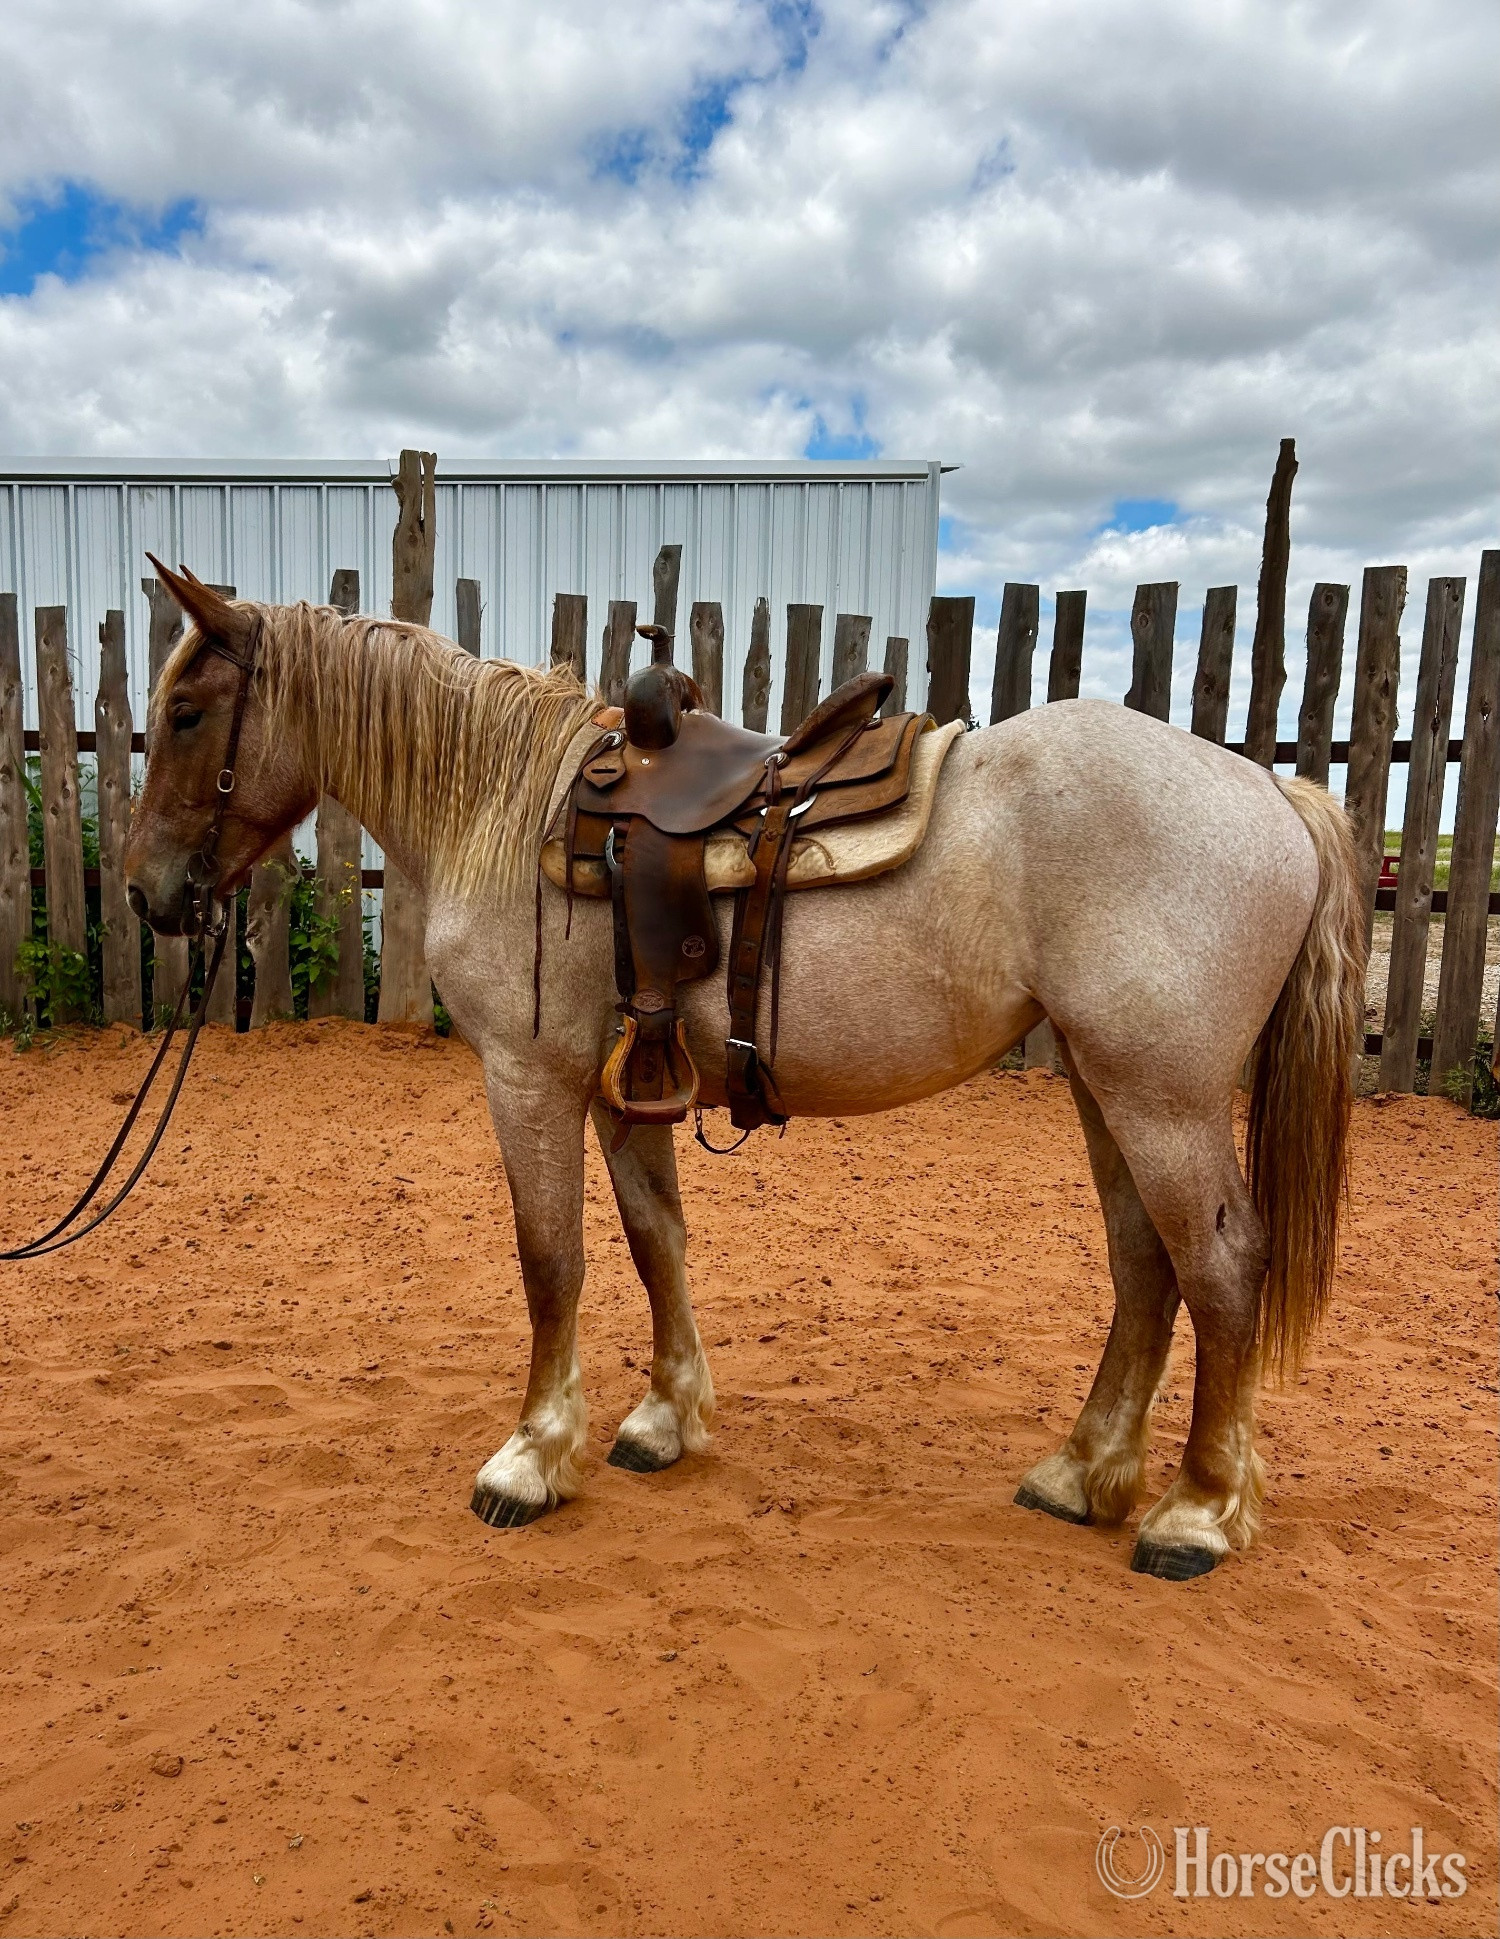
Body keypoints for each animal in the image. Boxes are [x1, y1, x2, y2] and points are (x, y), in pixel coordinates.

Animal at [124, 567, 1365, 1581]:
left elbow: (550, 1261)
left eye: (186, 713)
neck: (507, 809)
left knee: (1221, 1270)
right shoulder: (623, 1085)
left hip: (1164, 1100)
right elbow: (653, 1240)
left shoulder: (530, 1078)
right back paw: (1083, 1475)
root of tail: (1274, 795)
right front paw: (664, 1420)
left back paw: (1195, 1513)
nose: (146, 891)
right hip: (1107, 1088)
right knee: (1146, 1265)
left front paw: (530, 1458)